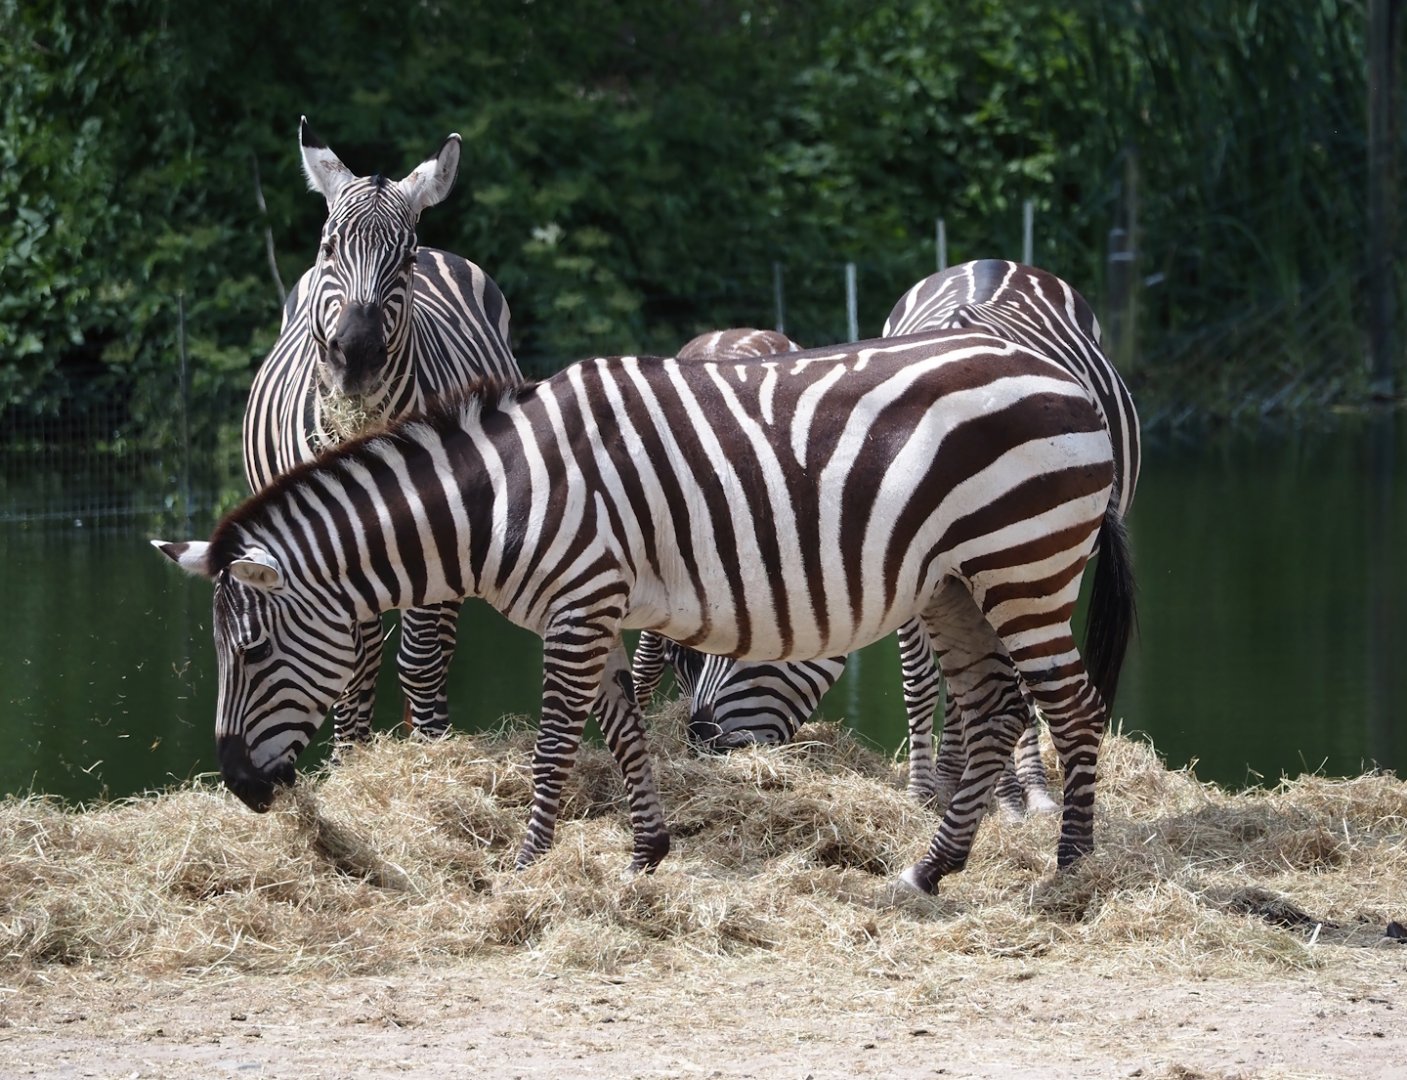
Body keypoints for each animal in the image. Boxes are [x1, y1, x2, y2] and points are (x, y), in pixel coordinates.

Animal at [153, 327, 1135, 894]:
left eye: (250, 655)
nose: (239, 784)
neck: (503, 497)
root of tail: (1066, 380)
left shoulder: (580, 601)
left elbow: (557, 741)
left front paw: (524, 865)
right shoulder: (591, 605)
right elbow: (621, 728)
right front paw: (645, 856)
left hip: (1023, 563)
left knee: (1072, 707)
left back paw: (1071, 872)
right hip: (954, 585)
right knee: (994, 710)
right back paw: (933, 869)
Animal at [243, 116, 521, 745]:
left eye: (406, 259)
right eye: (328, 249)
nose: (358, 354)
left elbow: (419, 656)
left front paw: (430, 748)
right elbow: (352, 659)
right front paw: (350, 753)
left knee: (438, 646)